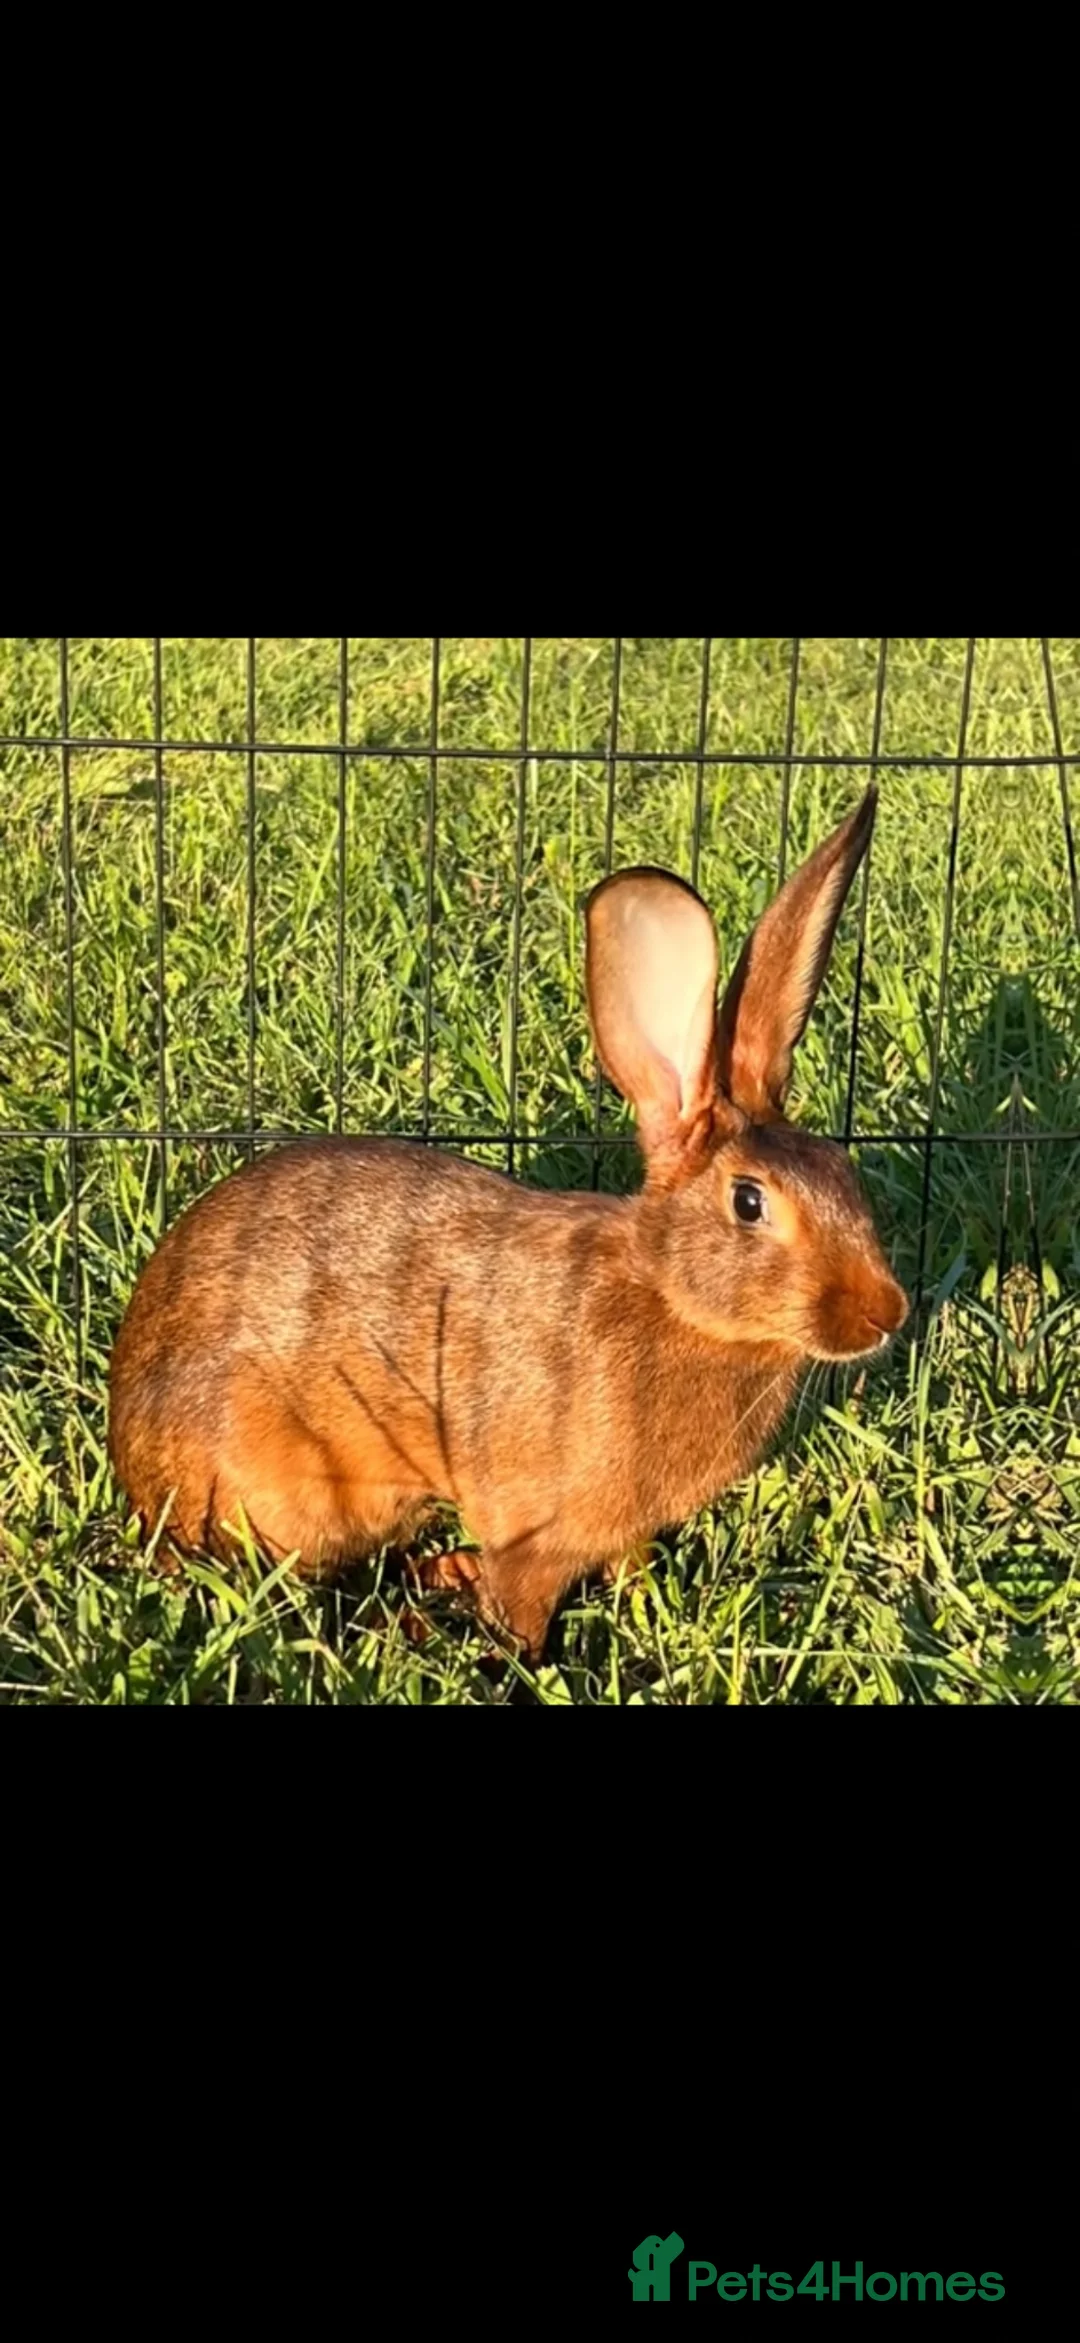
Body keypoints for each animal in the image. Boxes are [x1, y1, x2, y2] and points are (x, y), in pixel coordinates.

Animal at [108, 784, 908, 1660]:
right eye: (750, 1202)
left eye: (844, 1171)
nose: (886, 1312)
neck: (673, 1300)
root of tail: (132, 1455)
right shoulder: (534, 1531)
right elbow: (525, 1597)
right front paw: (523, 1656)